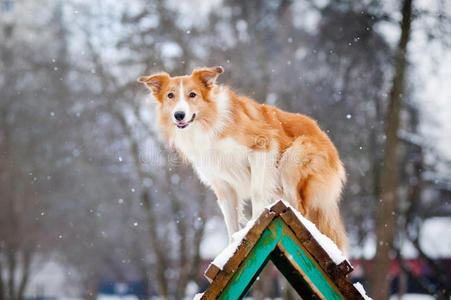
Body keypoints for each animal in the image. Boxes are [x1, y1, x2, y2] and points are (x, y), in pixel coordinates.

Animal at [138, 67, 350, 252]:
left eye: (192, 95)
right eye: (170, 96)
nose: (179, 115)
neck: (207, 125)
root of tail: (324, 135)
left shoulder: (262, 146)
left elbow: (257, 191)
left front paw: (255, 224)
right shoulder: (222, 183)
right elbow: (230, 216)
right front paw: (233, 247)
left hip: (291, 161)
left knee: (301, 209)